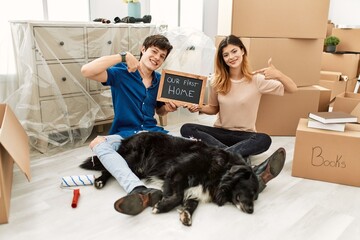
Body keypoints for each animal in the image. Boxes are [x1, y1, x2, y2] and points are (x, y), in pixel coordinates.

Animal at [79, 130, 258, 226]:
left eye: (255, 197)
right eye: (250, 192)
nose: (251, 211)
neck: (219, 172)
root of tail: (128, 137)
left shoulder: (196, 189)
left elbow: (191, 202)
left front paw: (186, 214)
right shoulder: (177, 171)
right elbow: (178, 196)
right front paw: (161, 206)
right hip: (132, 159)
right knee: (108, 169)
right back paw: (100, 181)